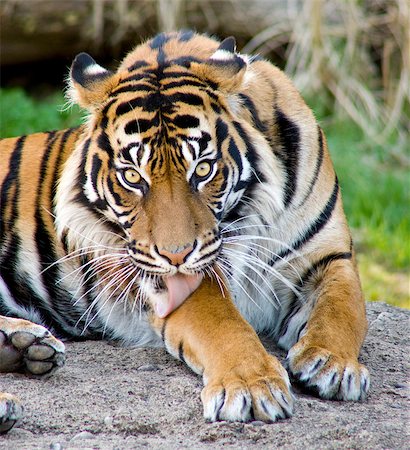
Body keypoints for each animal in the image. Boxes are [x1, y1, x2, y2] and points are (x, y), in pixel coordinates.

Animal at [0, 29, 370, 430]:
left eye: (203, 170)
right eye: (133, 177)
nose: (175, 256)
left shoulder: (329, 254)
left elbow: (344, 308)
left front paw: (333, 365)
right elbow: (223, 324)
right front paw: (252, 387)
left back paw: (24, 346)